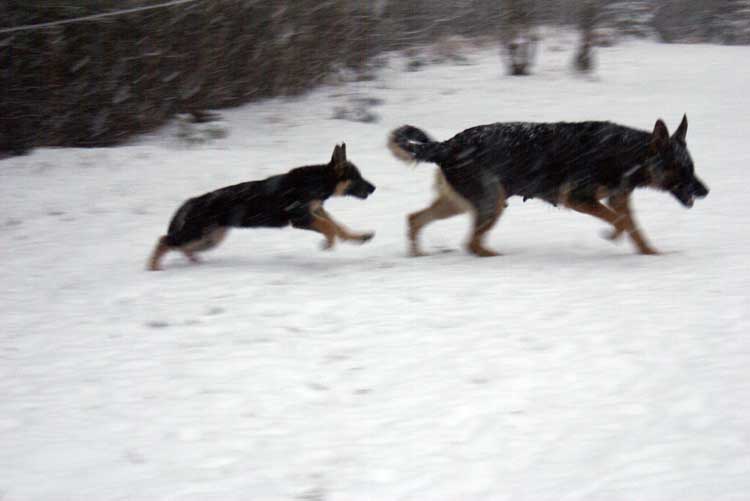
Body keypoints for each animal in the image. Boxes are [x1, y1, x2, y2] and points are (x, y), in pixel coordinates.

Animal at [148, 143, 376, 270]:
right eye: (356, 178)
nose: (374, 188)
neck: (318, 181)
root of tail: (193, 201)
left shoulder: (316, 211)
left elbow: (338, 226)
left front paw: (358, 237)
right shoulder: (300, 217)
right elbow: (329, 228)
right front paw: (328, 244)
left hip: (211, 238)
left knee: (181, 247)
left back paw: (195, 261)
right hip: (197, 233)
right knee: (164, 241)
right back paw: (153, 268)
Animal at [394, 114, 712, 256]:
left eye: (692, 166)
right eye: (682, 168)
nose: (705, 191)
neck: (626, 154)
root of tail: (447, 145)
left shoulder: (618, 199)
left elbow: (635, 230)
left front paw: (651, 254)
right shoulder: (579, 199)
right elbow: (620, 222)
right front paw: (612, 235)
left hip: (460, 204)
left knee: (415, 219)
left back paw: (417, 253)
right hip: (490, 202)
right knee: (469, 242)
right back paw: (489, 256)